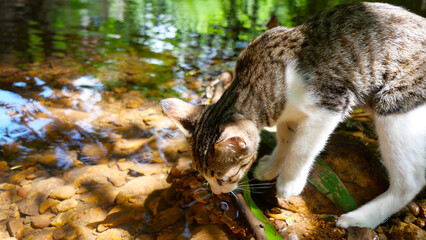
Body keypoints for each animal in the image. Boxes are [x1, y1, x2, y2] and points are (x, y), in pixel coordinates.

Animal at [161, 2, 426, 229]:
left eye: (224, 178)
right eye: (203, 175)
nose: (217, 193)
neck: (257, 82)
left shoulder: (331, 105)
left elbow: (302, 148)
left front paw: (289, 183)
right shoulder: (285, 113)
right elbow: (285, 139)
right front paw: (272, 166)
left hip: (395, 105)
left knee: (410, 182)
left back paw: (361, 218)